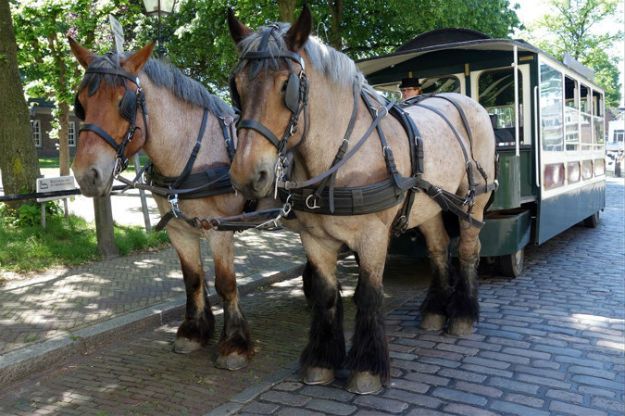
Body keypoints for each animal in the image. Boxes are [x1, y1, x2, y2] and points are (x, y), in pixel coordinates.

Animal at [71, 39, 256, 370]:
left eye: (125, 102)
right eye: (79, 103)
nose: (86, 175)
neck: (193, 152)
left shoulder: (218, 229)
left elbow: (226, 283)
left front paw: (235, 344)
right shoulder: (179, 230)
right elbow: (192, 279)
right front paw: (194, 331)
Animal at [227, 6, 494, 394]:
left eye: (286, 85)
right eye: (237, 86)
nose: (247, 175)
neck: (338, 157)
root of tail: (469, 102)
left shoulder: (372, 236)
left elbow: (369, 294)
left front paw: (366, 369)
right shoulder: (315, 239)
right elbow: (325, 294)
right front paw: (321, 361)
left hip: (473, 202)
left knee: (469, 250)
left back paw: (462, 316)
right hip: (429, 205)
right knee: (438, 249)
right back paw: (434, 311)